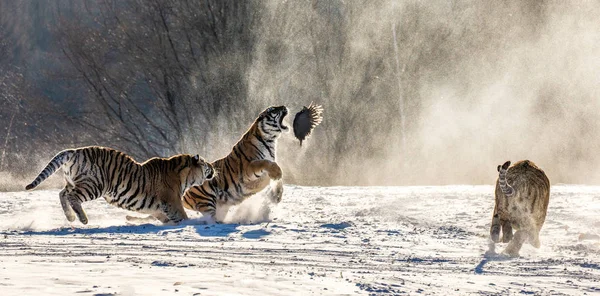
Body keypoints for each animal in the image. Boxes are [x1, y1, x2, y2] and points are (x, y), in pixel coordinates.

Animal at [24, 146, 214, 224]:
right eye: (205, 163)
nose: (213, 167)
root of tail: (75, 151)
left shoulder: (157, 208)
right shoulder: (172, 201)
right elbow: (182, 216)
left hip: (73, 182)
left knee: (62, 193)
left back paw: (70, 217)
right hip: (94, 185)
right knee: (71, 196)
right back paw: (82, 219)